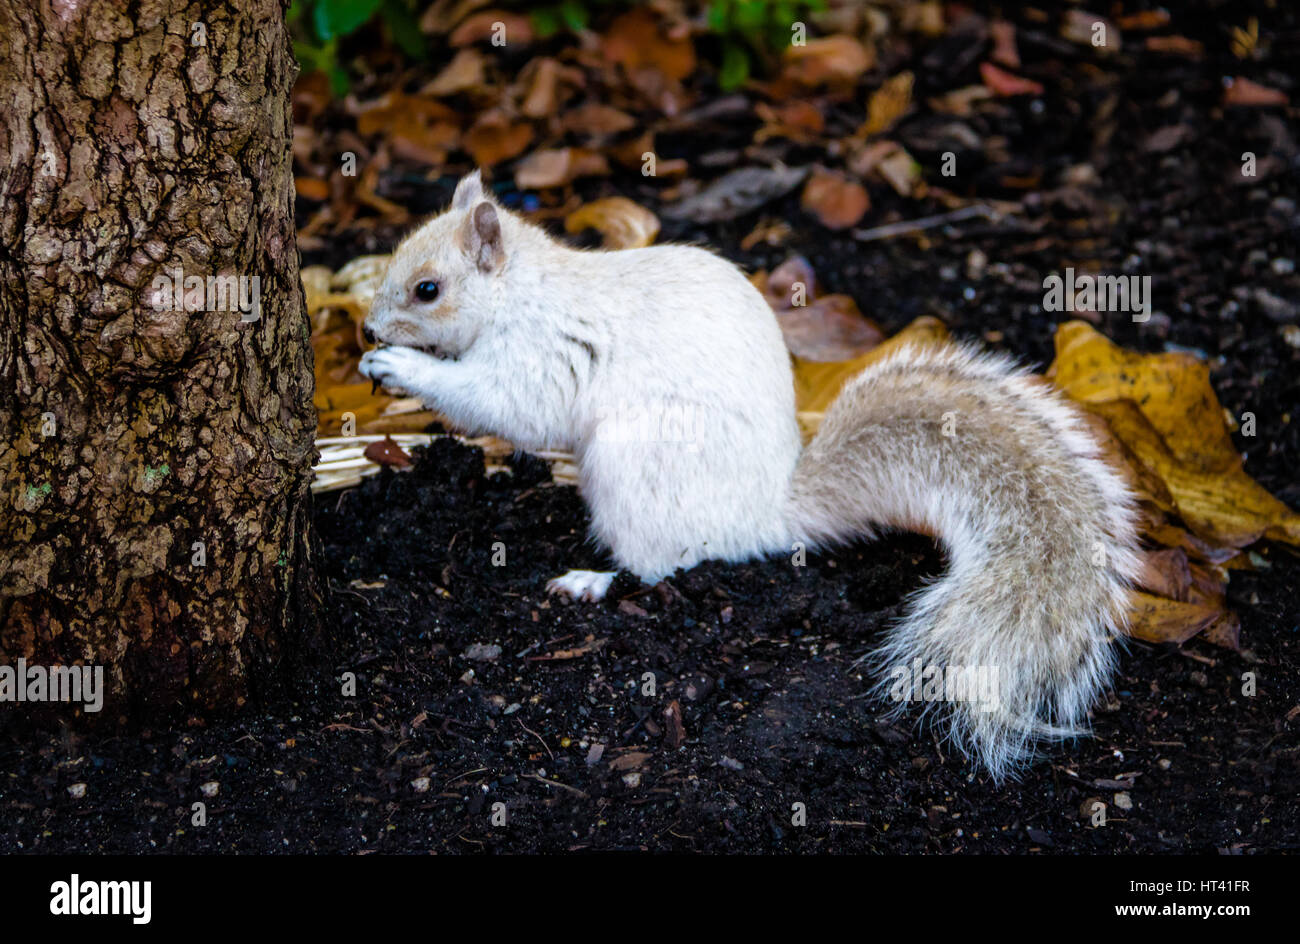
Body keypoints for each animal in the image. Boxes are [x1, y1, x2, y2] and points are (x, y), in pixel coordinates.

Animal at [359, 170, 1142, 780]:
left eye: (427, 289)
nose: (366, 332)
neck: (522, 295)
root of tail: (769, 514)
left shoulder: (542, 356)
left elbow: (505, 404)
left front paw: (404, 370)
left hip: (637, 469)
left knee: (660, 564)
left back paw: (591, 580)